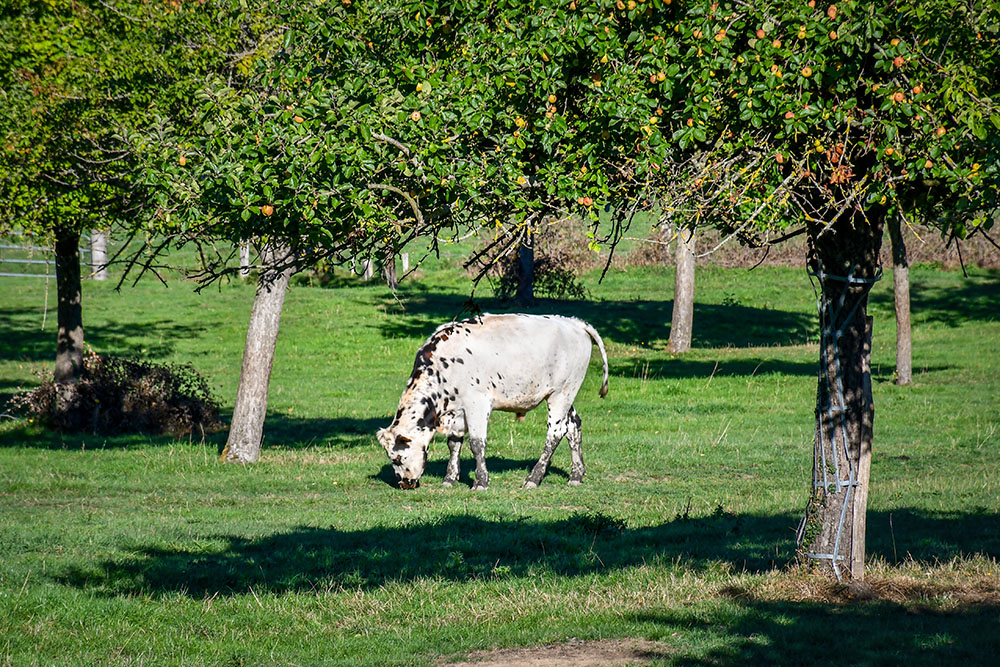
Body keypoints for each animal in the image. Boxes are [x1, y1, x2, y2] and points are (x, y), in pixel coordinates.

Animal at [377, 313, 608, 491]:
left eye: (397, 458)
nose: (404, 483)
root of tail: (572, 322)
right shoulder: (457, 412)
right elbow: (454, 443)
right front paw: (449, 479)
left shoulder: (476, 404)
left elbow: (477, 444)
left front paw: (481, 481)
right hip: (565, 395)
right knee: (573, 426)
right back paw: (576, 475)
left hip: (561, 394)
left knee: (555, 433)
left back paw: (533, 479)